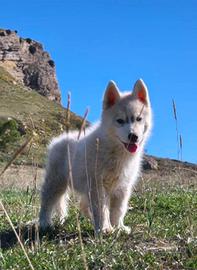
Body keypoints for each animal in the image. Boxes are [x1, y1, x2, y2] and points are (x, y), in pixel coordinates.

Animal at [38, 79, 152, 233]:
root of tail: (59, 139)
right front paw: (104, 228)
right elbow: (101, 208)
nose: (133, 136)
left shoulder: (123, 186)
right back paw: (44, 223)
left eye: (138, 119)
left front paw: (118, 227)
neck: (115, 150)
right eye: (120, 121)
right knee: (47, 201)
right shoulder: (97, 184)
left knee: (83, 205)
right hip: (56, 181)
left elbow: (118, 209)